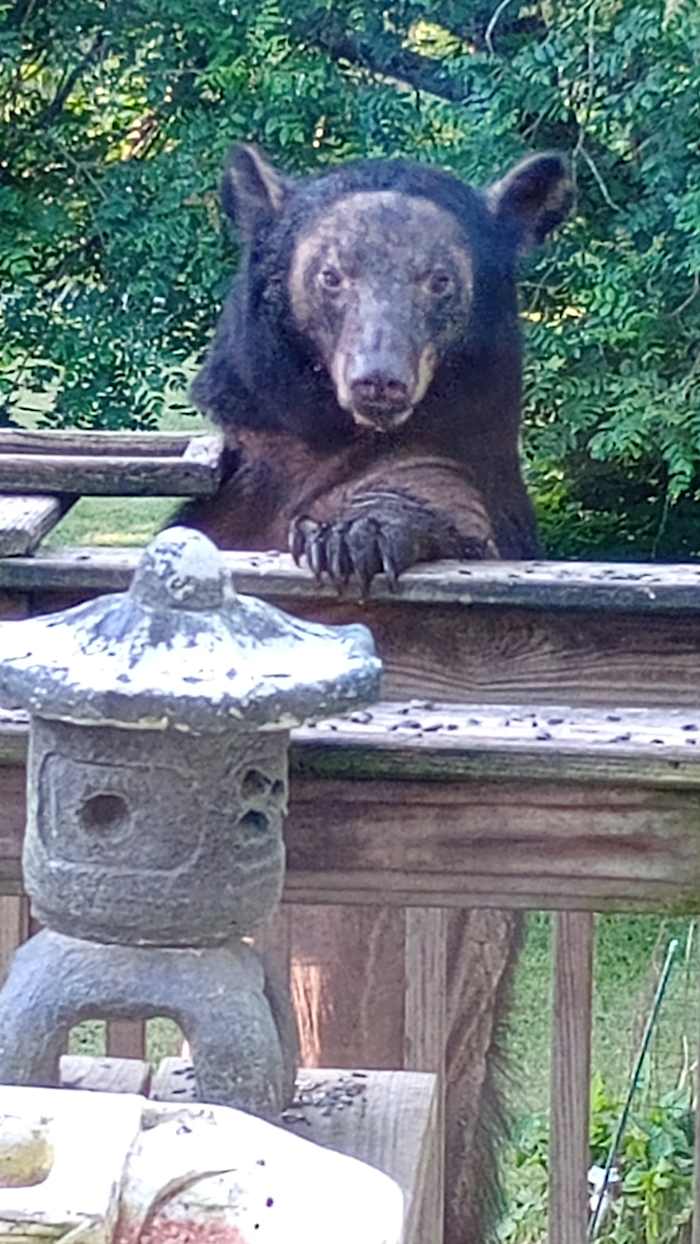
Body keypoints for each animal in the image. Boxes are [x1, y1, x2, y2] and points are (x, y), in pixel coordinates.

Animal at [178, 142, 572, 1243]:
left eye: (441, 282)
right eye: (330, 276)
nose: (381, 379)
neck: (329, 440)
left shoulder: (461, 478)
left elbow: (431, 498)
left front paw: (357, 535)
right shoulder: (231, 484)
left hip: (453, 954)